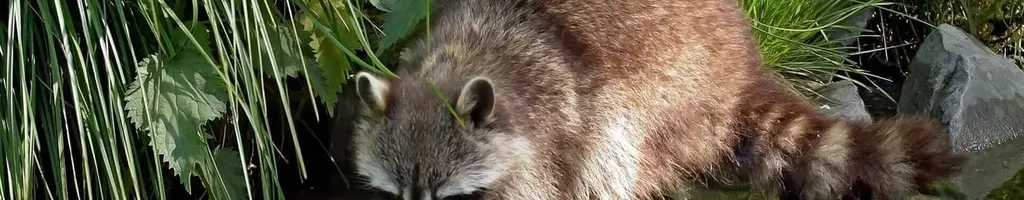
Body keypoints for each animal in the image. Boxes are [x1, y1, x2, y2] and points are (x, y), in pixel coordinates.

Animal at [348, 0, 962, 198]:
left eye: (448, 197)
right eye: (395, 195)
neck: (462, 60)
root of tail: (739, 68)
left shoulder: (549, 135)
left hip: (666, 96)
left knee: (615, 154)